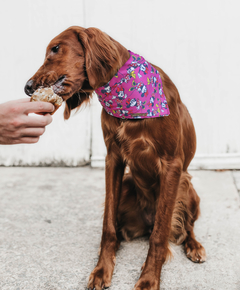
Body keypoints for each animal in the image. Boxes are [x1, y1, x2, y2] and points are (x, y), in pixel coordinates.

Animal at [24, 26, 206, 288]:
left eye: (56, 49)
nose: (27, 87)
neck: (128, 97)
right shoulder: (113, 158)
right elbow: (108, 226)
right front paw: (102, 269)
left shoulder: (172, 164)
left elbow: (160, 235)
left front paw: (149, 278)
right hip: (129, 186)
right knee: (121, 229)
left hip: (187, 187)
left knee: (184, 228)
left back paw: (194, 246)